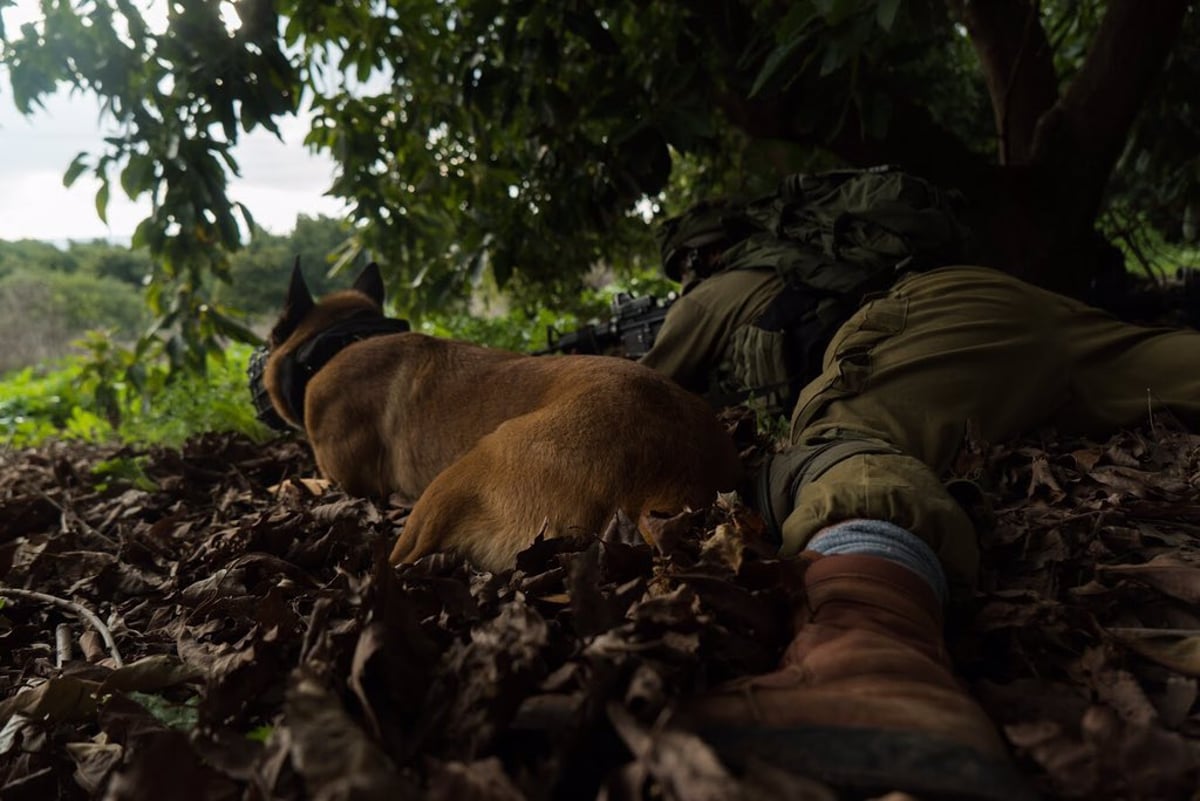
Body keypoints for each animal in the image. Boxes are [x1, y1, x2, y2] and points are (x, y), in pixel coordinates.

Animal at [259, 262, 744, 568]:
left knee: (401, 558)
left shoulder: (341, 480)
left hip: (458, 476)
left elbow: (292, 482)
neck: (340, 340)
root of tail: (678, 477)